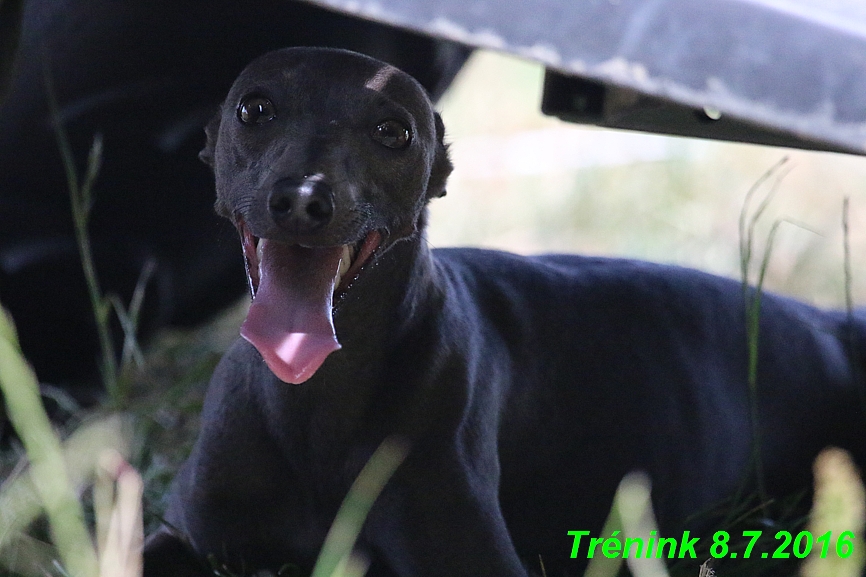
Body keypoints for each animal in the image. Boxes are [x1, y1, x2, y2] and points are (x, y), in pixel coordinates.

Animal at [143, 47, 864, 572]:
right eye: (255, 107)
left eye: (393, 131)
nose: (302, 199)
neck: (316, 396)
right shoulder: (185, 533)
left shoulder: (471, 552)